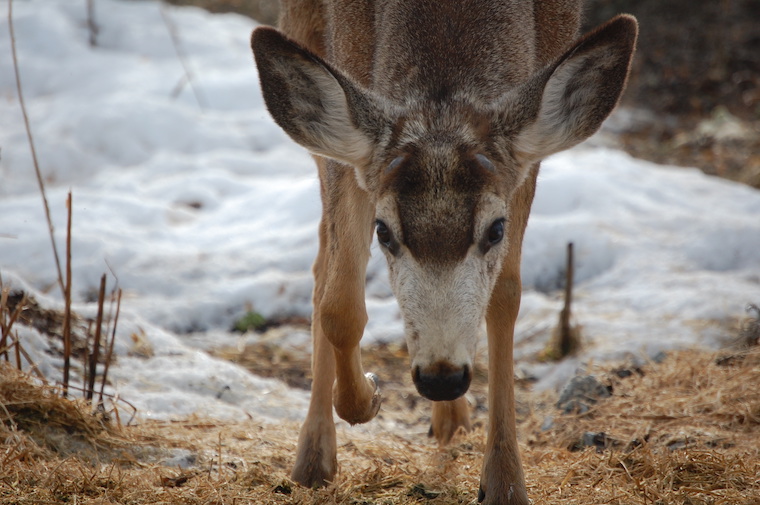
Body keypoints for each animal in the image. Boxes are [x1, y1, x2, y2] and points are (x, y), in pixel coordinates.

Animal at [250, 1, 637, 503]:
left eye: (495, 229)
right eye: (384, 231)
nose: (441, 376)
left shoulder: (524, 160)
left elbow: (505, 296)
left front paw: (505, 480)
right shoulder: (352, 120)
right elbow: (338, 303)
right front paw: (366, 397)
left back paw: (451, 419)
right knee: (321, 267)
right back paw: (314, 457)